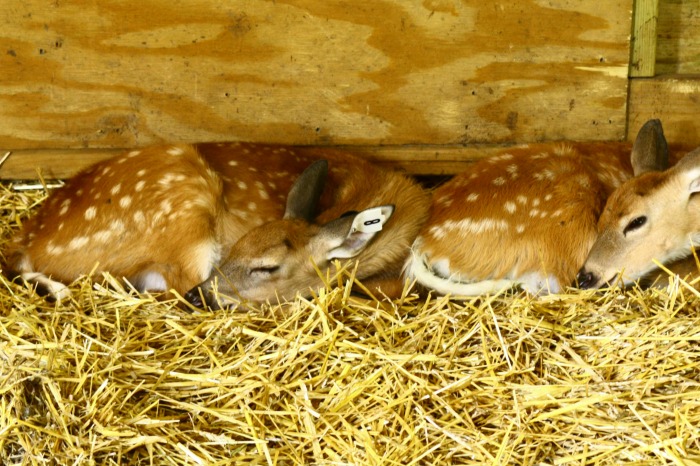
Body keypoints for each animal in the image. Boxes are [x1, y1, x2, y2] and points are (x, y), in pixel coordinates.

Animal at [4, 144, 432, 308]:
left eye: (267, 267)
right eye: (236, 247)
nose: (203, 295)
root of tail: (26, 241)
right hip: (187, 209)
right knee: (171, 288)